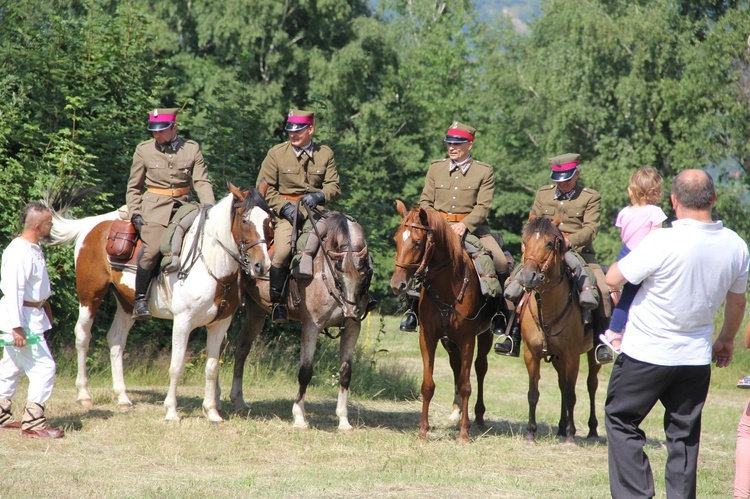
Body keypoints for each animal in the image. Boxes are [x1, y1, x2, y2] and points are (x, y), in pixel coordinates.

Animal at [47, 182, 270, 424]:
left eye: (268, 221)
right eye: (245, 220)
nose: (261, 266)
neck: (209, 263)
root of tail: (92, 225)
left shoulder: (220, 324)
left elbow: (211, 368)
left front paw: (212, 412)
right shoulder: (182, 322)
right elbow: (176, 367)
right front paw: (171, 411)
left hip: (127, 304)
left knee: (116, 339)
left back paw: (122, 397)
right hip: (90, 295)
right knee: (82, 337)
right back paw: (84, 395)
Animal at [228, 211, 372, 430]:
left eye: (364, 275)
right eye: (338, 274)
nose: (351, 311)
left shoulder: (352, 328)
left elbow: (346, 372)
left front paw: (344, 420)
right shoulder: (311, 327)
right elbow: (305, 372)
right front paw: (299, 417)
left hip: (256, 312)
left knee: (242, 349)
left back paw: (238, 399)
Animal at [390, 201, 496, 444]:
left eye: (417, 242)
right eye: (396, 239)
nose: (397, 285)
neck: (448, 286)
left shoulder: (467, 339)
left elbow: (466, 385)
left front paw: (464, 434)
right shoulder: (428, 337)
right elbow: (428, 385)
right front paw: (423, 431)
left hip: (484, 336)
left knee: (480, 369)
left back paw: (478, 416)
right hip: (450, 342)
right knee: (457, 367)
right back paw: (457, 412)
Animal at [516, 217, 604, 444]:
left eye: (549, 243)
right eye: (525, 241)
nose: (528, 276)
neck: (548, 308)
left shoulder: (573, 356)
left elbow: (573, 394)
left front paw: (571, 435)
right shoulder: (531, 355)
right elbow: (533, 393)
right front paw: (530, 433)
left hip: (591, 356)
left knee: (591, 385)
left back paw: (590, 429)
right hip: (557, 358)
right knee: (562, 385)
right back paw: (562, 427)